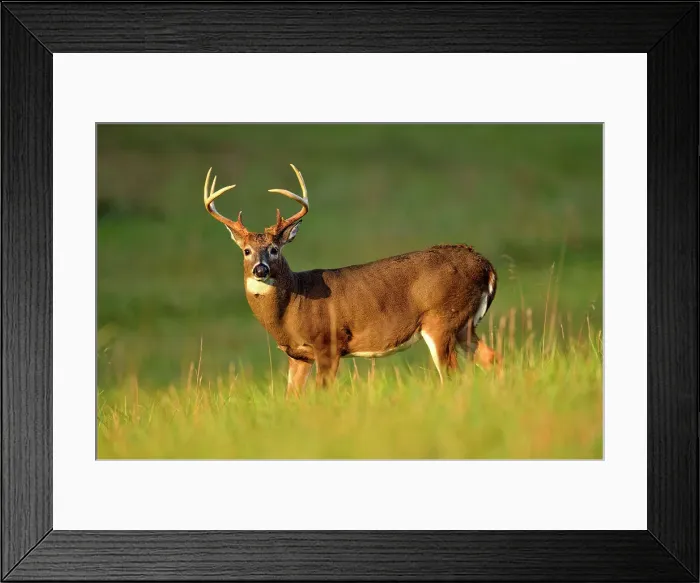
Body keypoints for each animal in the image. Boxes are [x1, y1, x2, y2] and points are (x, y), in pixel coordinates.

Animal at [203, 164, 501, 396]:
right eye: (246, 250)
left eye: (275, 249)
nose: (260, 269)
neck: (291, 307)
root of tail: (486, 265)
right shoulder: (298, 355)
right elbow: (292, 398)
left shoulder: (328, 342)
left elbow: (323, 392)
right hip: (463, 325)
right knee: (492, 359)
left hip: (442, 319)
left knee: (452, 375)